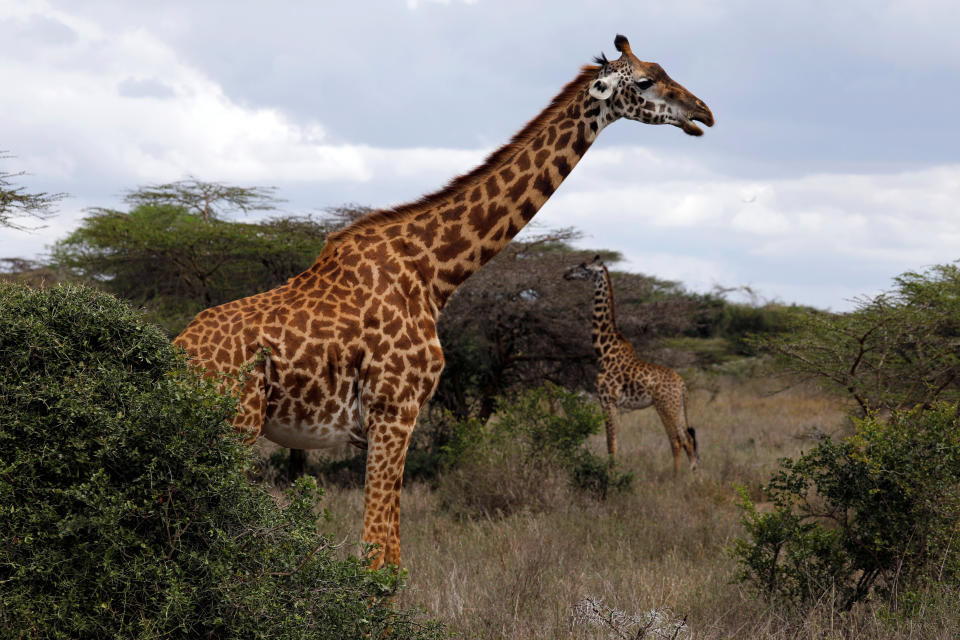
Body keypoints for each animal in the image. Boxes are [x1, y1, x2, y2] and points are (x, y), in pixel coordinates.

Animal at [564, 256, 696, 476]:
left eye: (584, 266)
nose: (566, 273)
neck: (604, 352)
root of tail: (683, 385)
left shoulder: (607, 399)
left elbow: (611, 443)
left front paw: (610, 476)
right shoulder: (612, 403)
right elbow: (614, 442)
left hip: (664, 406)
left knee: (677, 441)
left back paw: (675, 479)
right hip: (677, 408)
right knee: (689, 441)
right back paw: (695, 479)